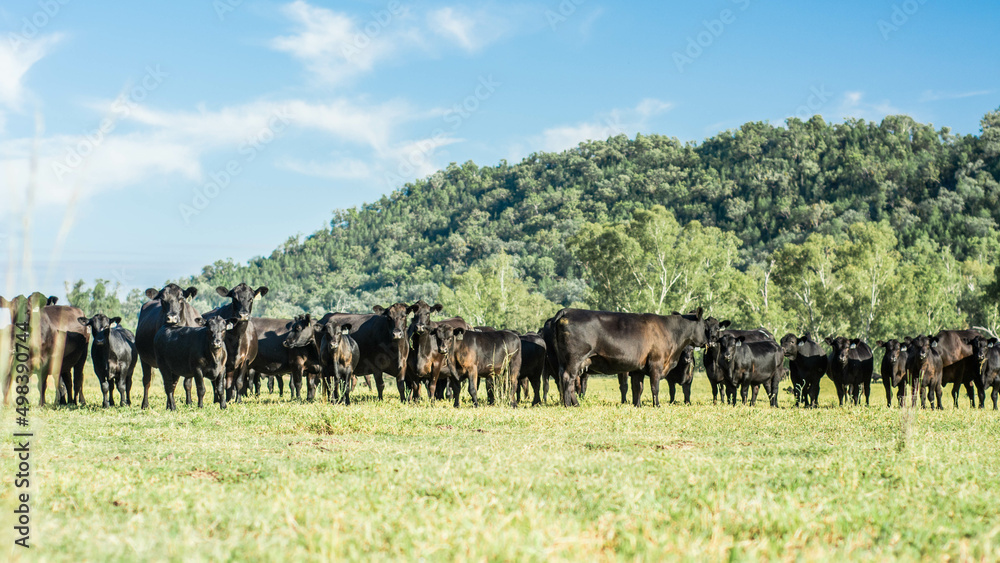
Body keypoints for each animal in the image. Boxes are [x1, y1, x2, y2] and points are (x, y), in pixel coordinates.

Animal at [552, 307, 721, 407]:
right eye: (705, 326)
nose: (712, 339)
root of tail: (568, 310)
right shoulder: (656, 364)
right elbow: (654, 387)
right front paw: (657, 405)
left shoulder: (638, 368)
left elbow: (638, 388)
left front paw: (637, 405)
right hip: (574, 360)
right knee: (568, 380)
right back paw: (569, 404)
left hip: (566, 361)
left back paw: (575, 404)